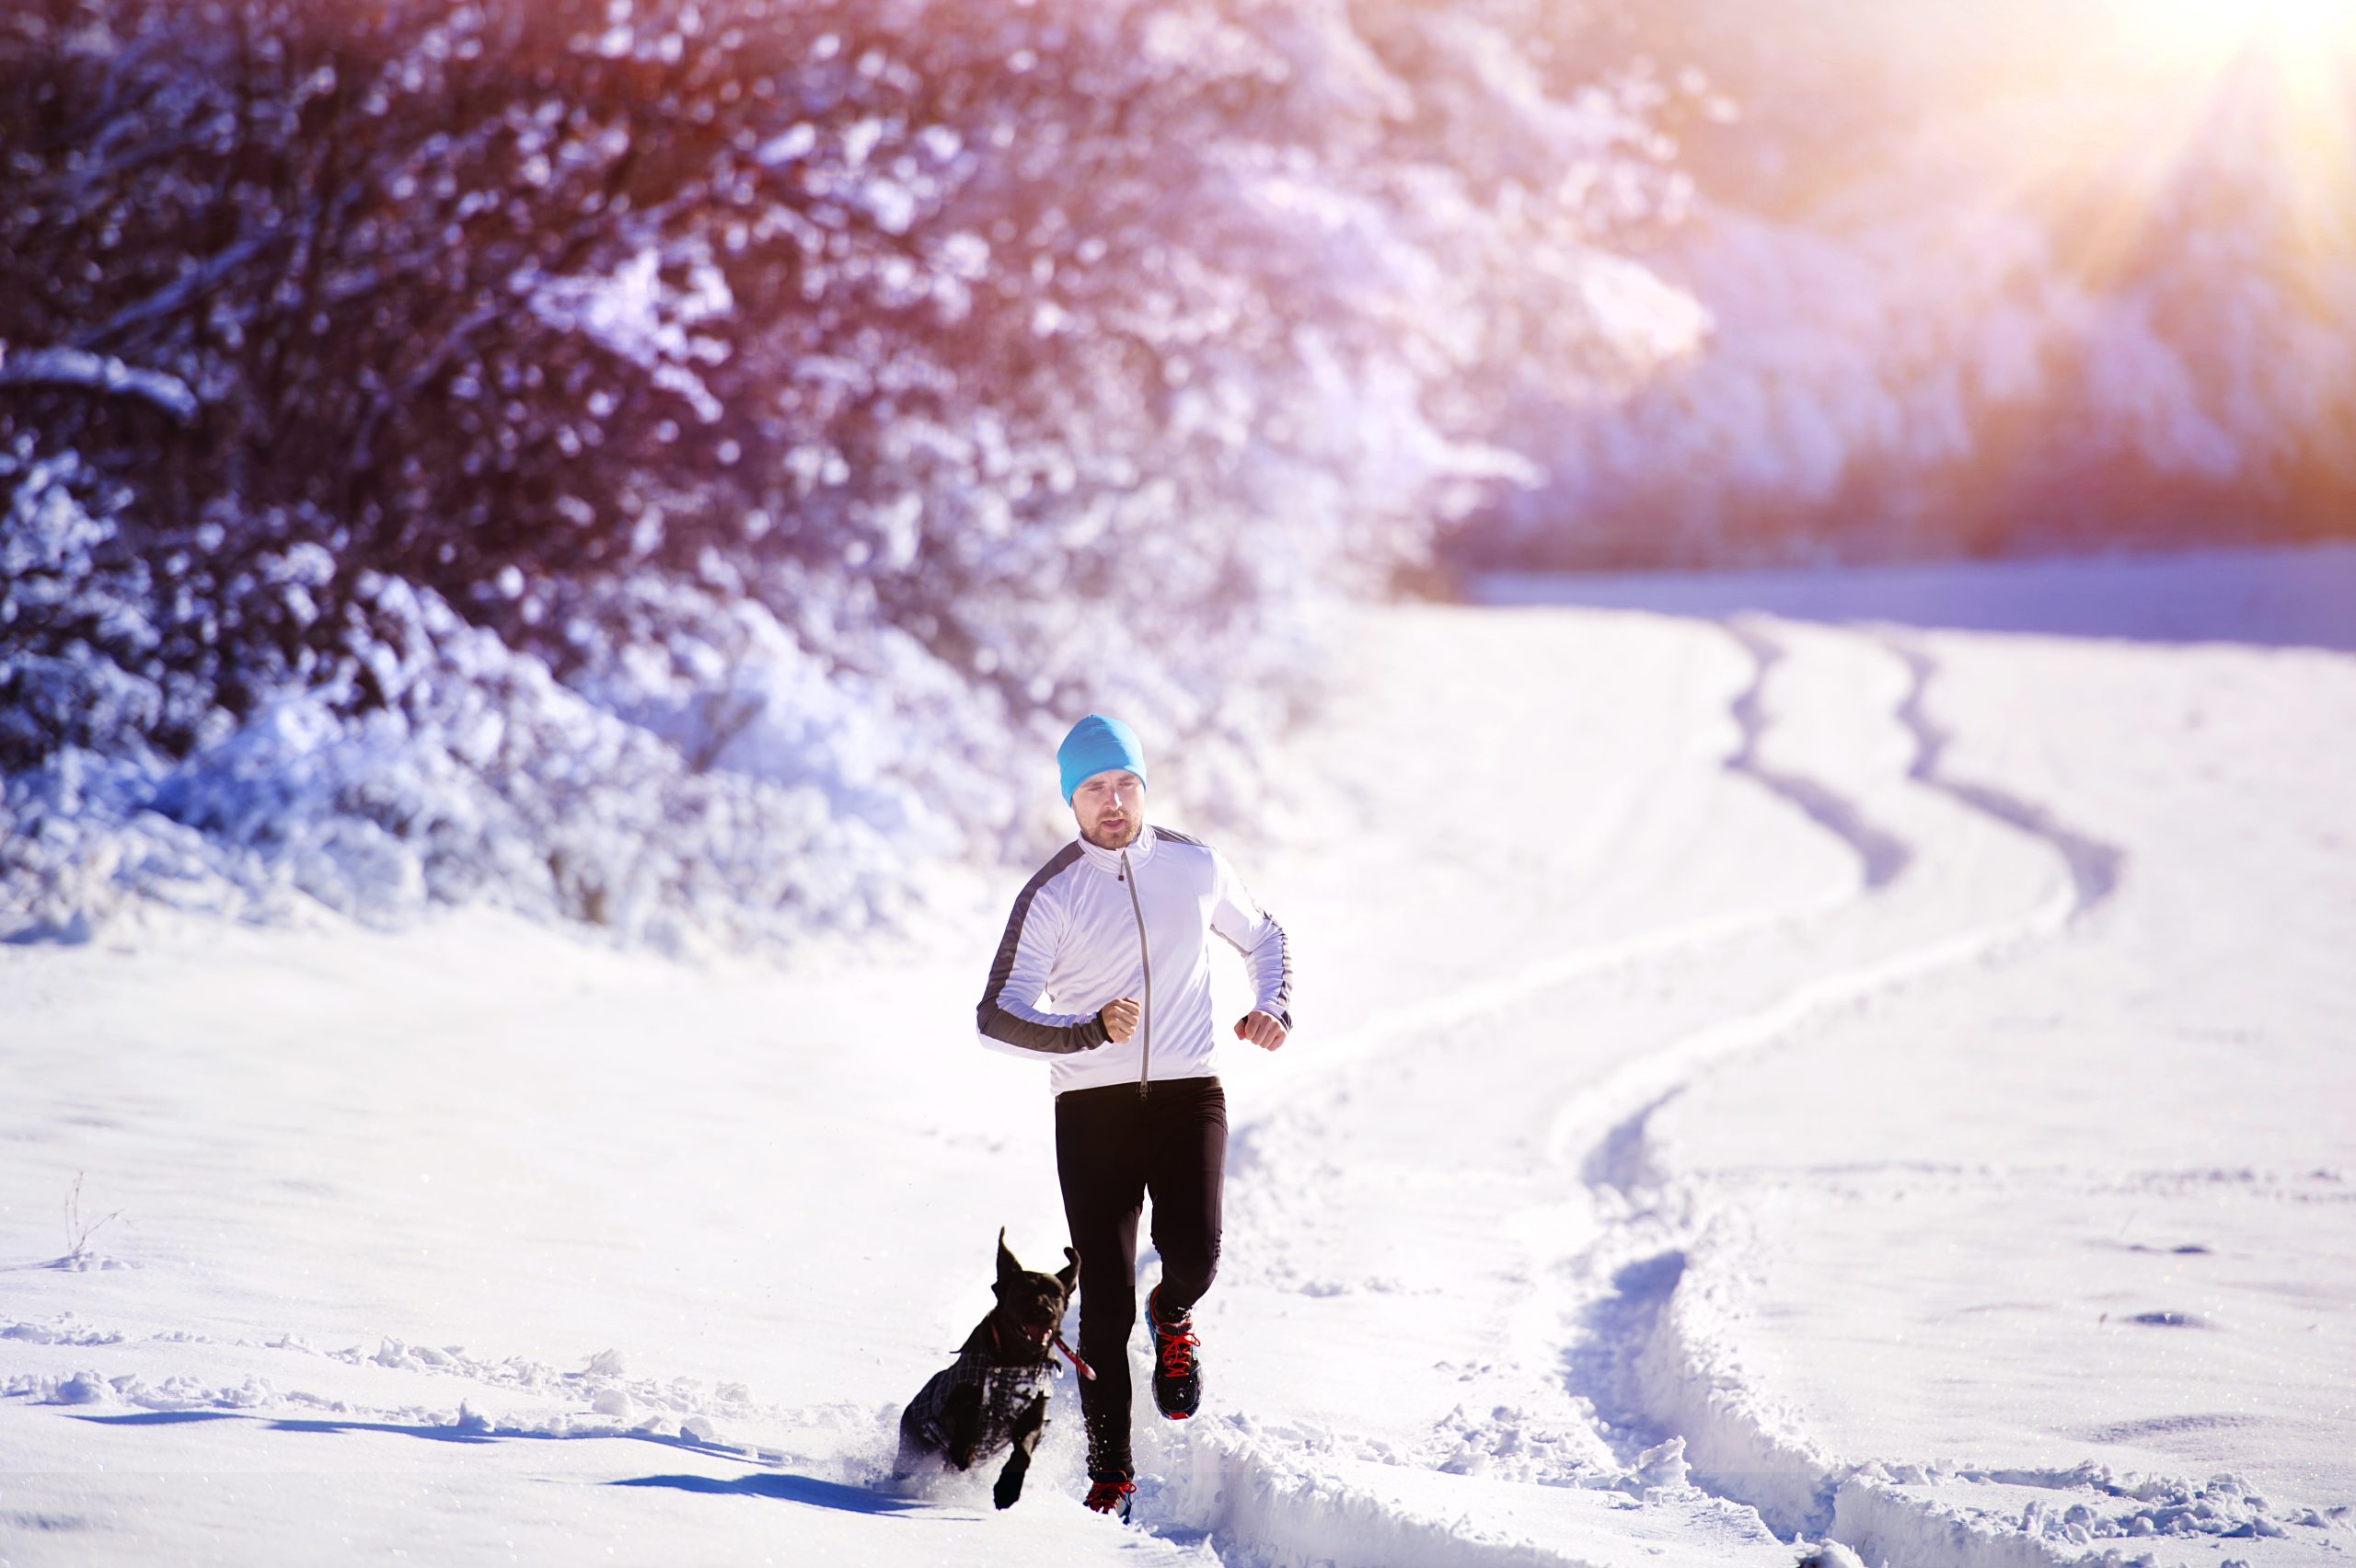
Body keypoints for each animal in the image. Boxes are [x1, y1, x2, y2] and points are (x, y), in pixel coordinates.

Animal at [895, 1224, 1079, 1506]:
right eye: (1022, 1291)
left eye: (1056, 1294)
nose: (1046, 1311)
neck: (1016, 1362)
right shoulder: (953, 1405)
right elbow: (966, 1417)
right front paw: (966, 1450)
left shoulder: (1034, 1416)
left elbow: (1024, 1450)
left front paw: (1008, 1489)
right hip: (913, 1443)